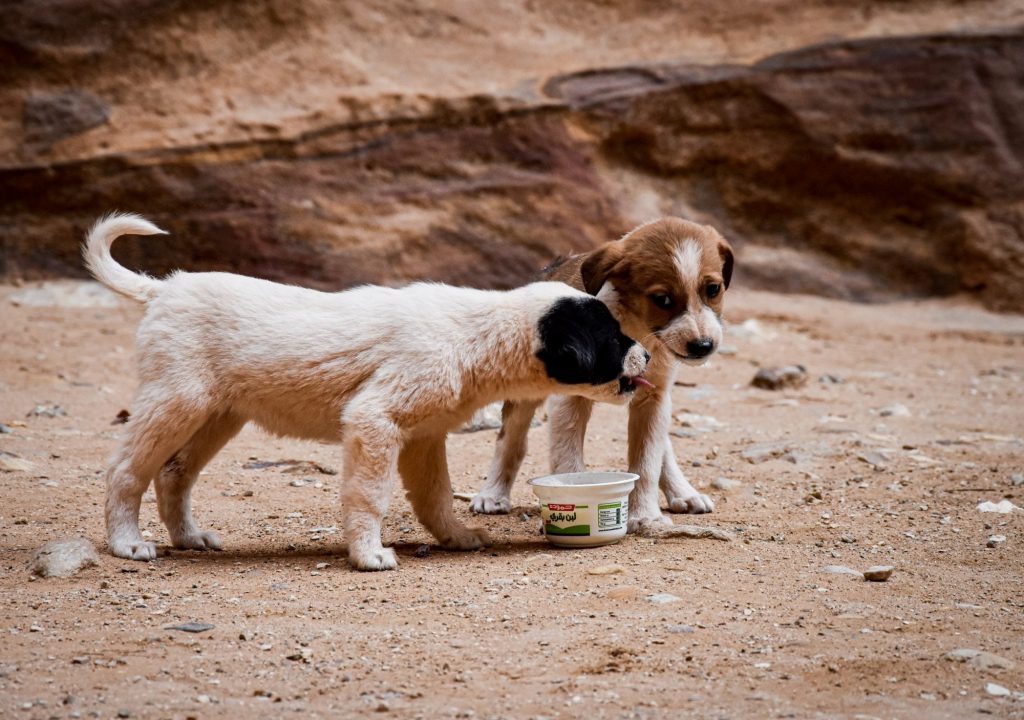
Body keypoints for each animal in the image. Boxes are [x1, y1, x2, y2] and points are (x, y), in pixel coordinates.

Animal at [86, 210, 647, 573]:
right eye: (612, 338)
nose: (645, 355)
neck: (478, 334)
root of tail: (165, 288)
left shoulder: (423, 437)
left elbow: (435, 498)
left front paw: (457, 537)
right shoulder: (374, 422)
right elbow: (369, 496)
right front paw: (368, 554)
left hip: (218, 415)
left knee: (174, 473)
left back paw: (188, 537)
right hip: (176, 402)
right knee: (125, 472)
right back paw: (128, 543)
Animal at [475, 218, 733, 528]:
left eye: (713, 289)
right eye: (662, 299)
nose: (702, 346)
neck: (638, 328)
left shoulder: (655, 397)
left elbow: (647, 462)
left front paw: (645, 515)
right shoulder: (569, 399)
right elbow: (568, 462)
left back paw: (684, 492)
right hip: (524, 394)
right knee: (509, 438)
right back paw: (492, 494)